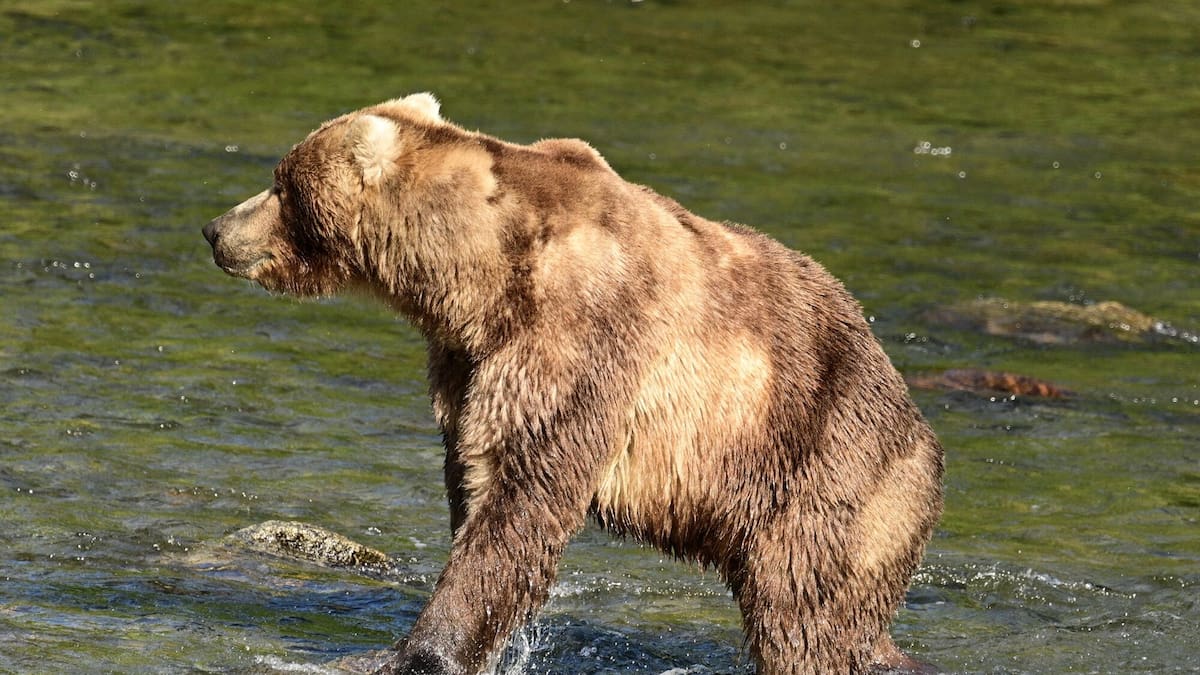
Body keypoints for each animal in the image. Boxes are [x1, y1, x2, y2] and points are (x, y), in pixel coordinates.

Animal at [202, 93, 943, 675]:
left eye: (280, 183)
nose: (214, 228)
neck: (472, 278)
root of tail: (921, 427)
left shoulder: (579, 336)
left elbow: (526, 494)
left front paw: (412, 650)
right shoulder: (469, 361)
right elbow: (478, 477)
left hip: (822, 461)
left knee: (803, 607)